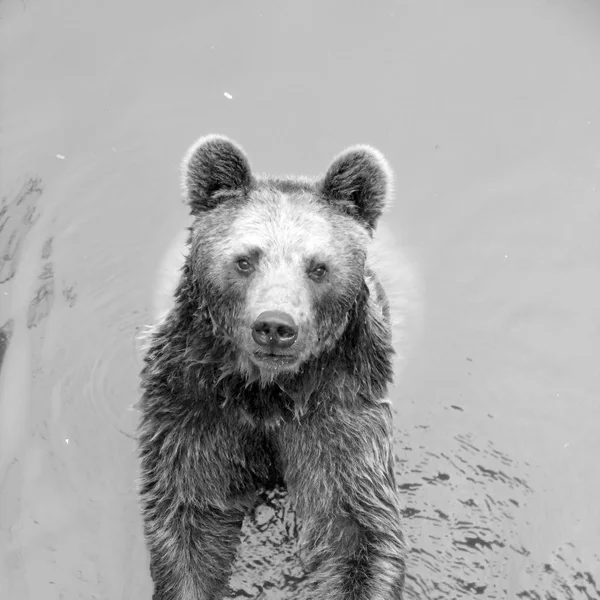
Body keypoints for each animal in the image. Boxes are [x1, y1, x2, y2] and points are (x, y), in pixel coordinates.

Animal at [135, 136, 412, 600]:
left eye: (318, 267)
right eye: (245, 260)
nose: (275, 326)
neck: (266, 392)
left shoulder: (339, 416)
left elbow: (354, 525)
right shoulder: (194, 409)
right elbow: (191, 513)